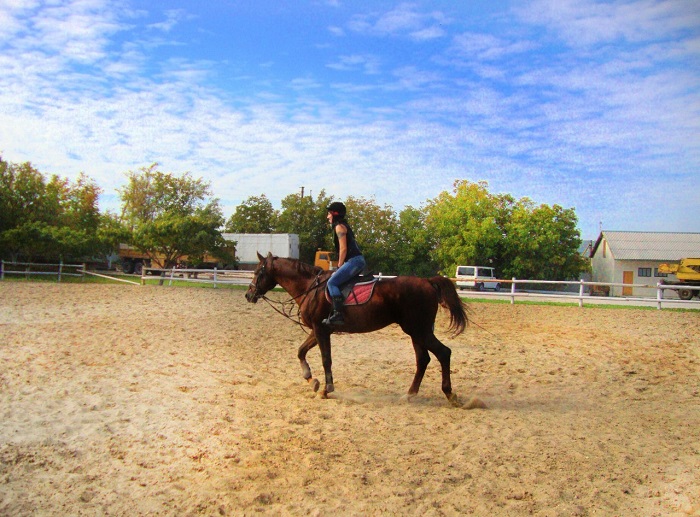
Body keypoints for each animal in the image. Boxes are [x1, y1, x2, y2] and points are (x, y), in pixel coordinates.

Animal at [243, 252, 468, 406]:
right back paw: (410, 394)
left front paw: (327, 389)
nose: (248, 295)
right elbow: (301, 351)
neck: (311, 287)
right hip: (416, 332)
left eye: (257, 272)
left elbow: (326, 359)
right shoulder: (319, 330)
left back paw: (450, 394)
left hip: (420, 330)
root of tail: (427, 281)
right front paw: (311, 379)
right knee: (423, 360)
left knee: (443, 353)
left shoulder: (321, 330)